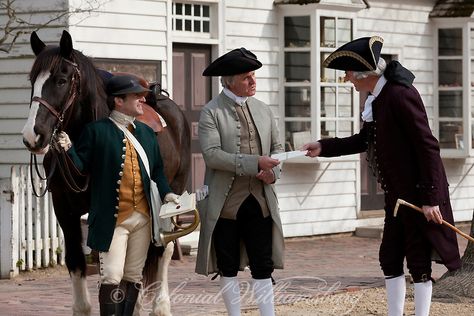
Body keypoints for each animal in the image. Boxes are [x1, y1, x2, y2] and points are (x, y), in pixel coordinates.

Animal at [21, 30, 195, 316]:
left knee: (164, 251)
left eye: (61, 80)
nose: (33, 136)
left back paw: (160, 307)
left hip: (172, 196)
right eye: (32, 81)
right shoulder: (64, 209)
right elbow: (77, 261)